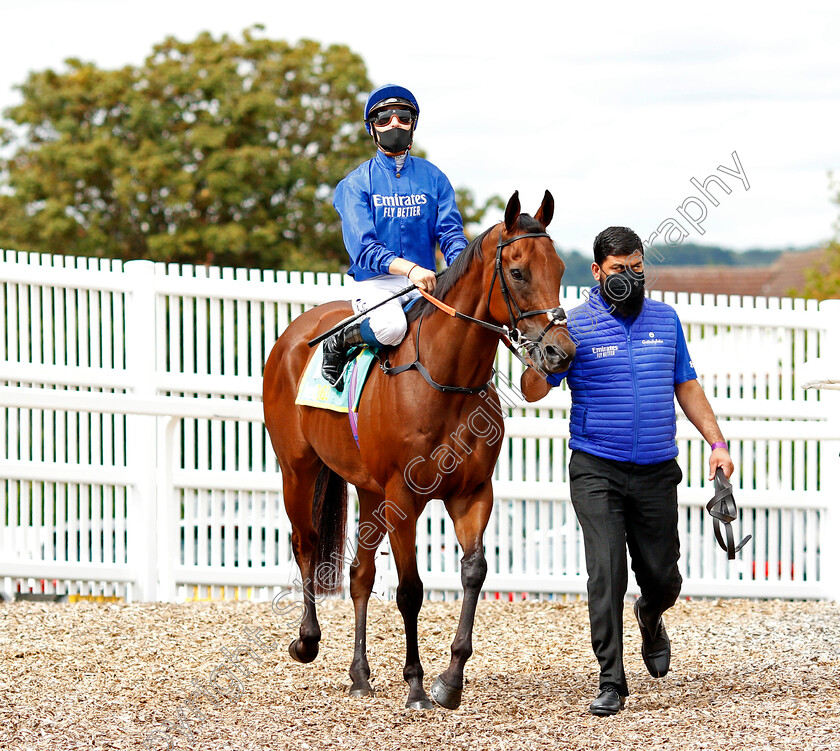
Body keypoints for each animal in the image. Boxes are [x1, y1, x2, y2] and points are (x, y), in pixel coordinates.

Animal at [264, 192, 576, 712]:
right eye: (517, 272)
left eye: (561, 267)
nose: (560, 353)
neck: (447, 382)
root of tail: (295, 333)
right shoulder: (403, 498)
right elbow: (410, 590)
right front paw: (415, 685)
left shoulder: (472, 493)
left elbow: (474, 572)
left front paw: (450, 679)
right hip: (298, 470)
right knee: (305, 543)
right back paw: (307, 640)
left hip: (368, 490)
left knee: (360, 573)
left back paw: (360, 675)